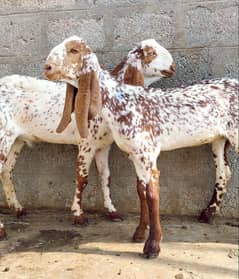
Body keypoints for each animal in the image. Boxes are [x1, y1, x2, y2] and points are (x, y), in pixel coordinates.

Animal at [0, 39, 175, 241]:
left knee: (6, 171)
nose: (173, 67)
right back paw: (3, 229)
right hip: (3, 136)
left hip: (16, 140)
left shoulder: (103, 146)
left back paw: (18, 209)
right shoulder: (87, 144)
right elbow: (82, 178)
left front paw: (112, 211)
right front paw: (78, 215)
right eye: (152, 53)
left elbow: (105, 176)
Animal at [44, 36, 239, 260]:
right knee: (223, 172)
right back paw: (208, 214)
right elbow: (141, 191)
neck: (121, 101)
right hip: (219, 139)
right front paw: (139, 233)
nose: (47, 67)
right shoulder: (135, 154)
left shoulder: (147, 154)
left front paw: (153, 246)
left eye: (74, 50)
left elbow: (152, 194)